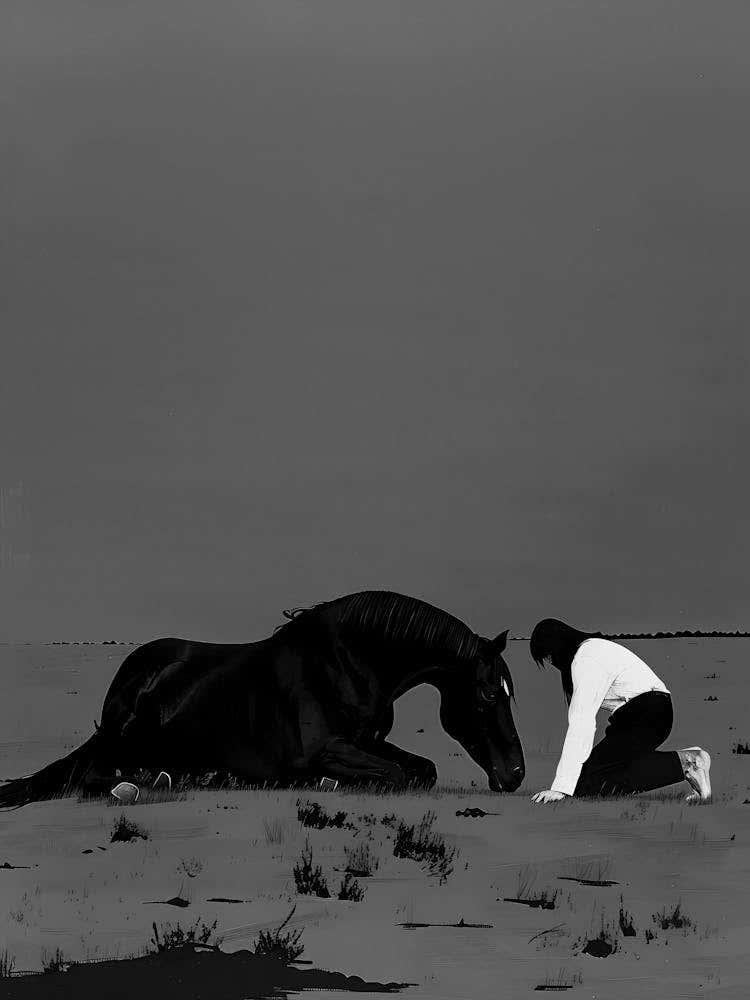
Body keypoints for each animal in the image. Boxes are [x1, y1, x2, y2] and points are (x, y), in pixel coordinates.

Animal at [0, 590, 525, 808]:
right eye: (486, 695)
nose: (515, 774)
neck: (346, 660)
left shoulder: (369, 741)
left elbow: (422, 770)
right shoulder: (326, 750)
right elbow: (396, 776)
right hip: (125, 736)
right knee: (95, 776)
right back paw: (144, 785)